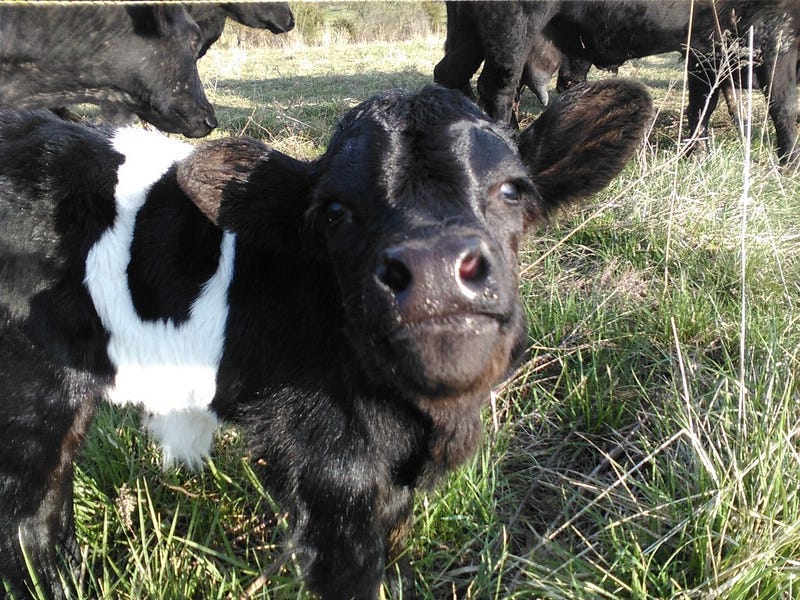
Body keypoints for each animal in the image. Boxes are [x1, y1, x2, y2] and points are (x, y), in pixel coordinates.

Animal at [0, 81, 652, 600]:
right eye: (334, 211)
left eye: (512, 190)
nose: (436, 269)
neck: (419, 427)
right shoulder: (324, 458)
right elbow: (351, 570)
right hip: (34, 400)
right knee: (30, 521)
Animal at [438, 0, 800, 164]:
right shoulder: (776, 40)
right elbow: (782, 105)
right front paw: (790, 162)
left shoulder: (706, 49)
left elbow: (702, 104)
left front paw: (696, 153)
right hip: (512, 26)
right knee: (498, 85)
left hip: (471, 34)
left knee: (450, 75)